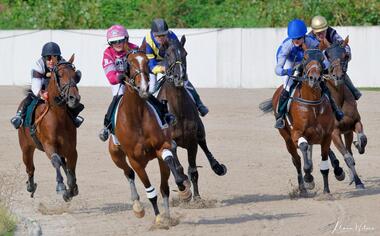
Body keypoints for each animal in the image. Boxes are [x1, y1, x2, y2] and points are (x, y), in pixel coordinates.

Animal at [17, 54, 81, 202]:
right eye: (60, 75)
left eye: (75, 75)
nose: (74, 98)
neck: (58, 117)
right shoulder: (48, 145)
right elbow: (56, 161)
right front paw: (61, 187)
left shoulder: (71, 149)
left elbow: (70, 167)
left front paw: (71, 189)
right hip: (26, 148)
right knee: (30, 167)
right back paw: (31, 186)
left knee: (63, 164)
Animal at [107, 49, 191, 227]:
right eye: (130, 63)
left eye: (146, 62)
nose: (144, 87)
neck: (136, 116)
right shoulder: (135, 160)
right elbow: (150, 190)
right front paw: (158, 217)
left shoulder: (161, 147)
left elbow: (165, 182)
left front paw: (181, 186)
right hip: (115, 155)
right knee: (128, 173)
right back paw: (137, 205)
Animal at [155, 36, 226, 200]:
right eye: (167, 54)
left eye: (185, 53)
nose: (179, 76)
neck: (177, 111)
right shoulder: (169, 141)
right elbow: (178, 166)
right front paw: (184, 188)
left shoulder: (192, 140)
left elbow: (193, 170)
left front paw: (197, 199)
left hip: (200, 131)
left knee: (204, 144)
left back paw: (217, 167)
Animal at [262, 45, 342, 195]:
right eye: (305, 58)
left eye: (321, 59)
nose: (314, 78)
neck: (312, 103)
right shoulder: (297, 133)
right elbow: (304, 149)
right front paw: (308, 178)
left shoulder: (326, 135)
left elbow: (324, 163)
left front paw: (327, 191)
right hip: (287, 139)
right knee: (297, 160)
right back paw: (302, 187)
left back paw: (337, 171)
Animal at [320, 37, 366, 189]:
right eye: (327, 55)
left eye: (345, 55)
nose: (338, 76)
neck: (338, 100)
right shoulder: (334, 133)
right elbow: (348, 157)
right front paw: (358, 182)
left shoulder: (353, 124)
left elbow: (362, 139)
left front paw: (359, 145)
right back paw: (338, 171)